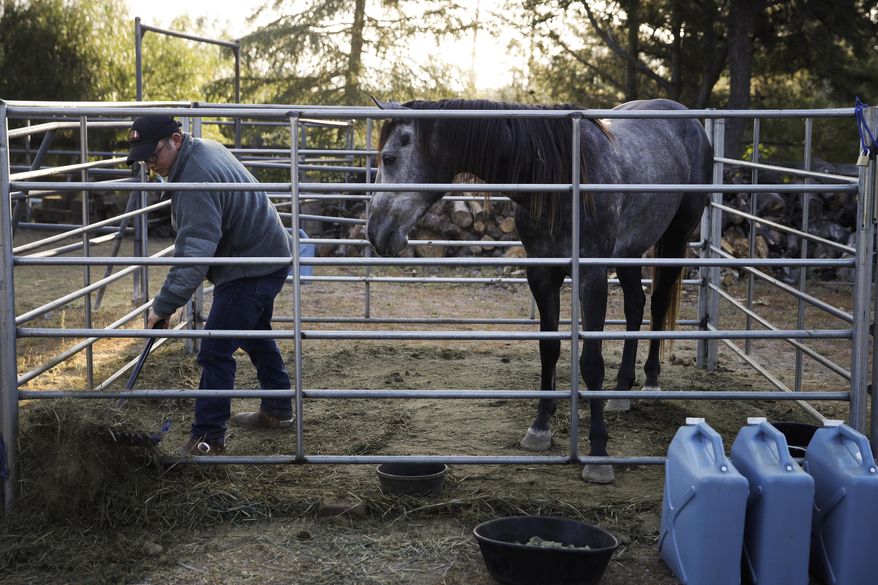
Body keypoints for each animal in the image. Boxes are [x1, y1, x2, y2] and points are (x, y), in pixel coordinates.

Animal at [366, 98, 712, 483]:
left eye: (388, 158)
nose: (375, 231)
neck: (561, 179)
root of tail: (687, 118)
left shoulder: (591, 276)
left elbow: (591, 363)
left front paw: (598, 454)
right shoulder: (542, 274)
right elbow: (549, 350)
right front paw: (540, 428)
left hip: (676, 236)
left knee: (658, 302)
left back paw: (650, 384)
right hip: (629, 250)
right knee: (635, 305)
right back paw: (621, 393)